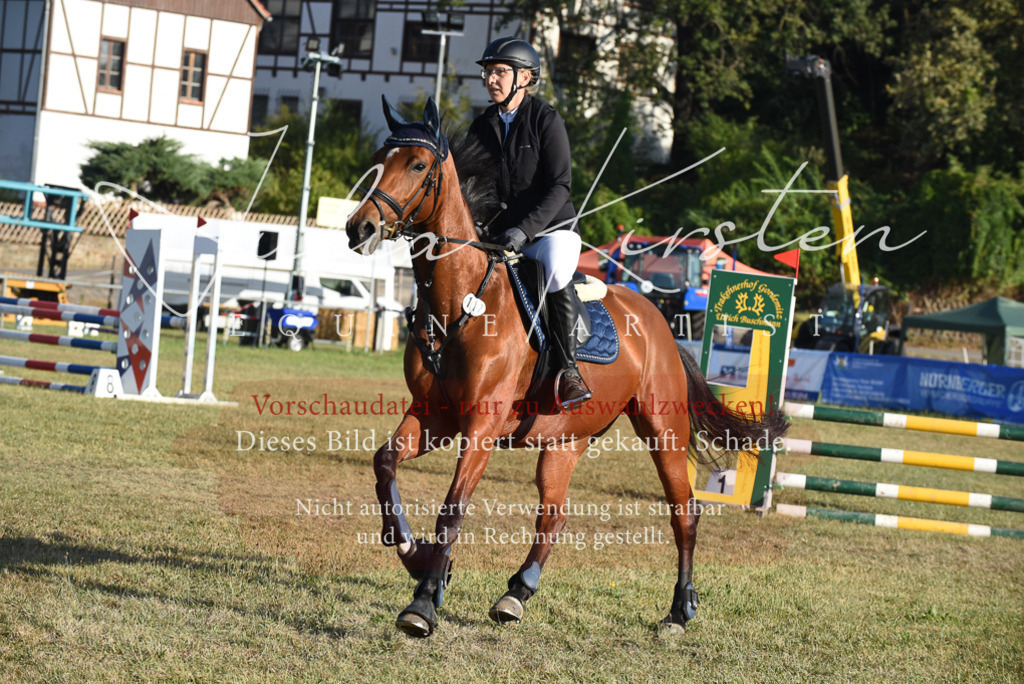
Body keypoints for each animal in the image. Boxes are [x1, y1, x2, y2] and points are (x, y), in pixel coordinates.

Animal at [345, 97, 788, 638]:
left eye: (417, 165)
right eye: (379, 159)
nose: (359, 229)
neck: (462, 301)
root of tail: (659, 320)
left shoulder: (481, 425)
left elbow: (453, 507)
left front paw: (424, 602)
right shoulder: (436, 416)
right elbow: (384, 465)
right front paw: (418, 557)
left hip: (662, 427)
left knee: (684, 511)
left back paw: (679, 610)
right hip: (565, 440)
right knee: (553, 516)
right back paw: (515, 594)